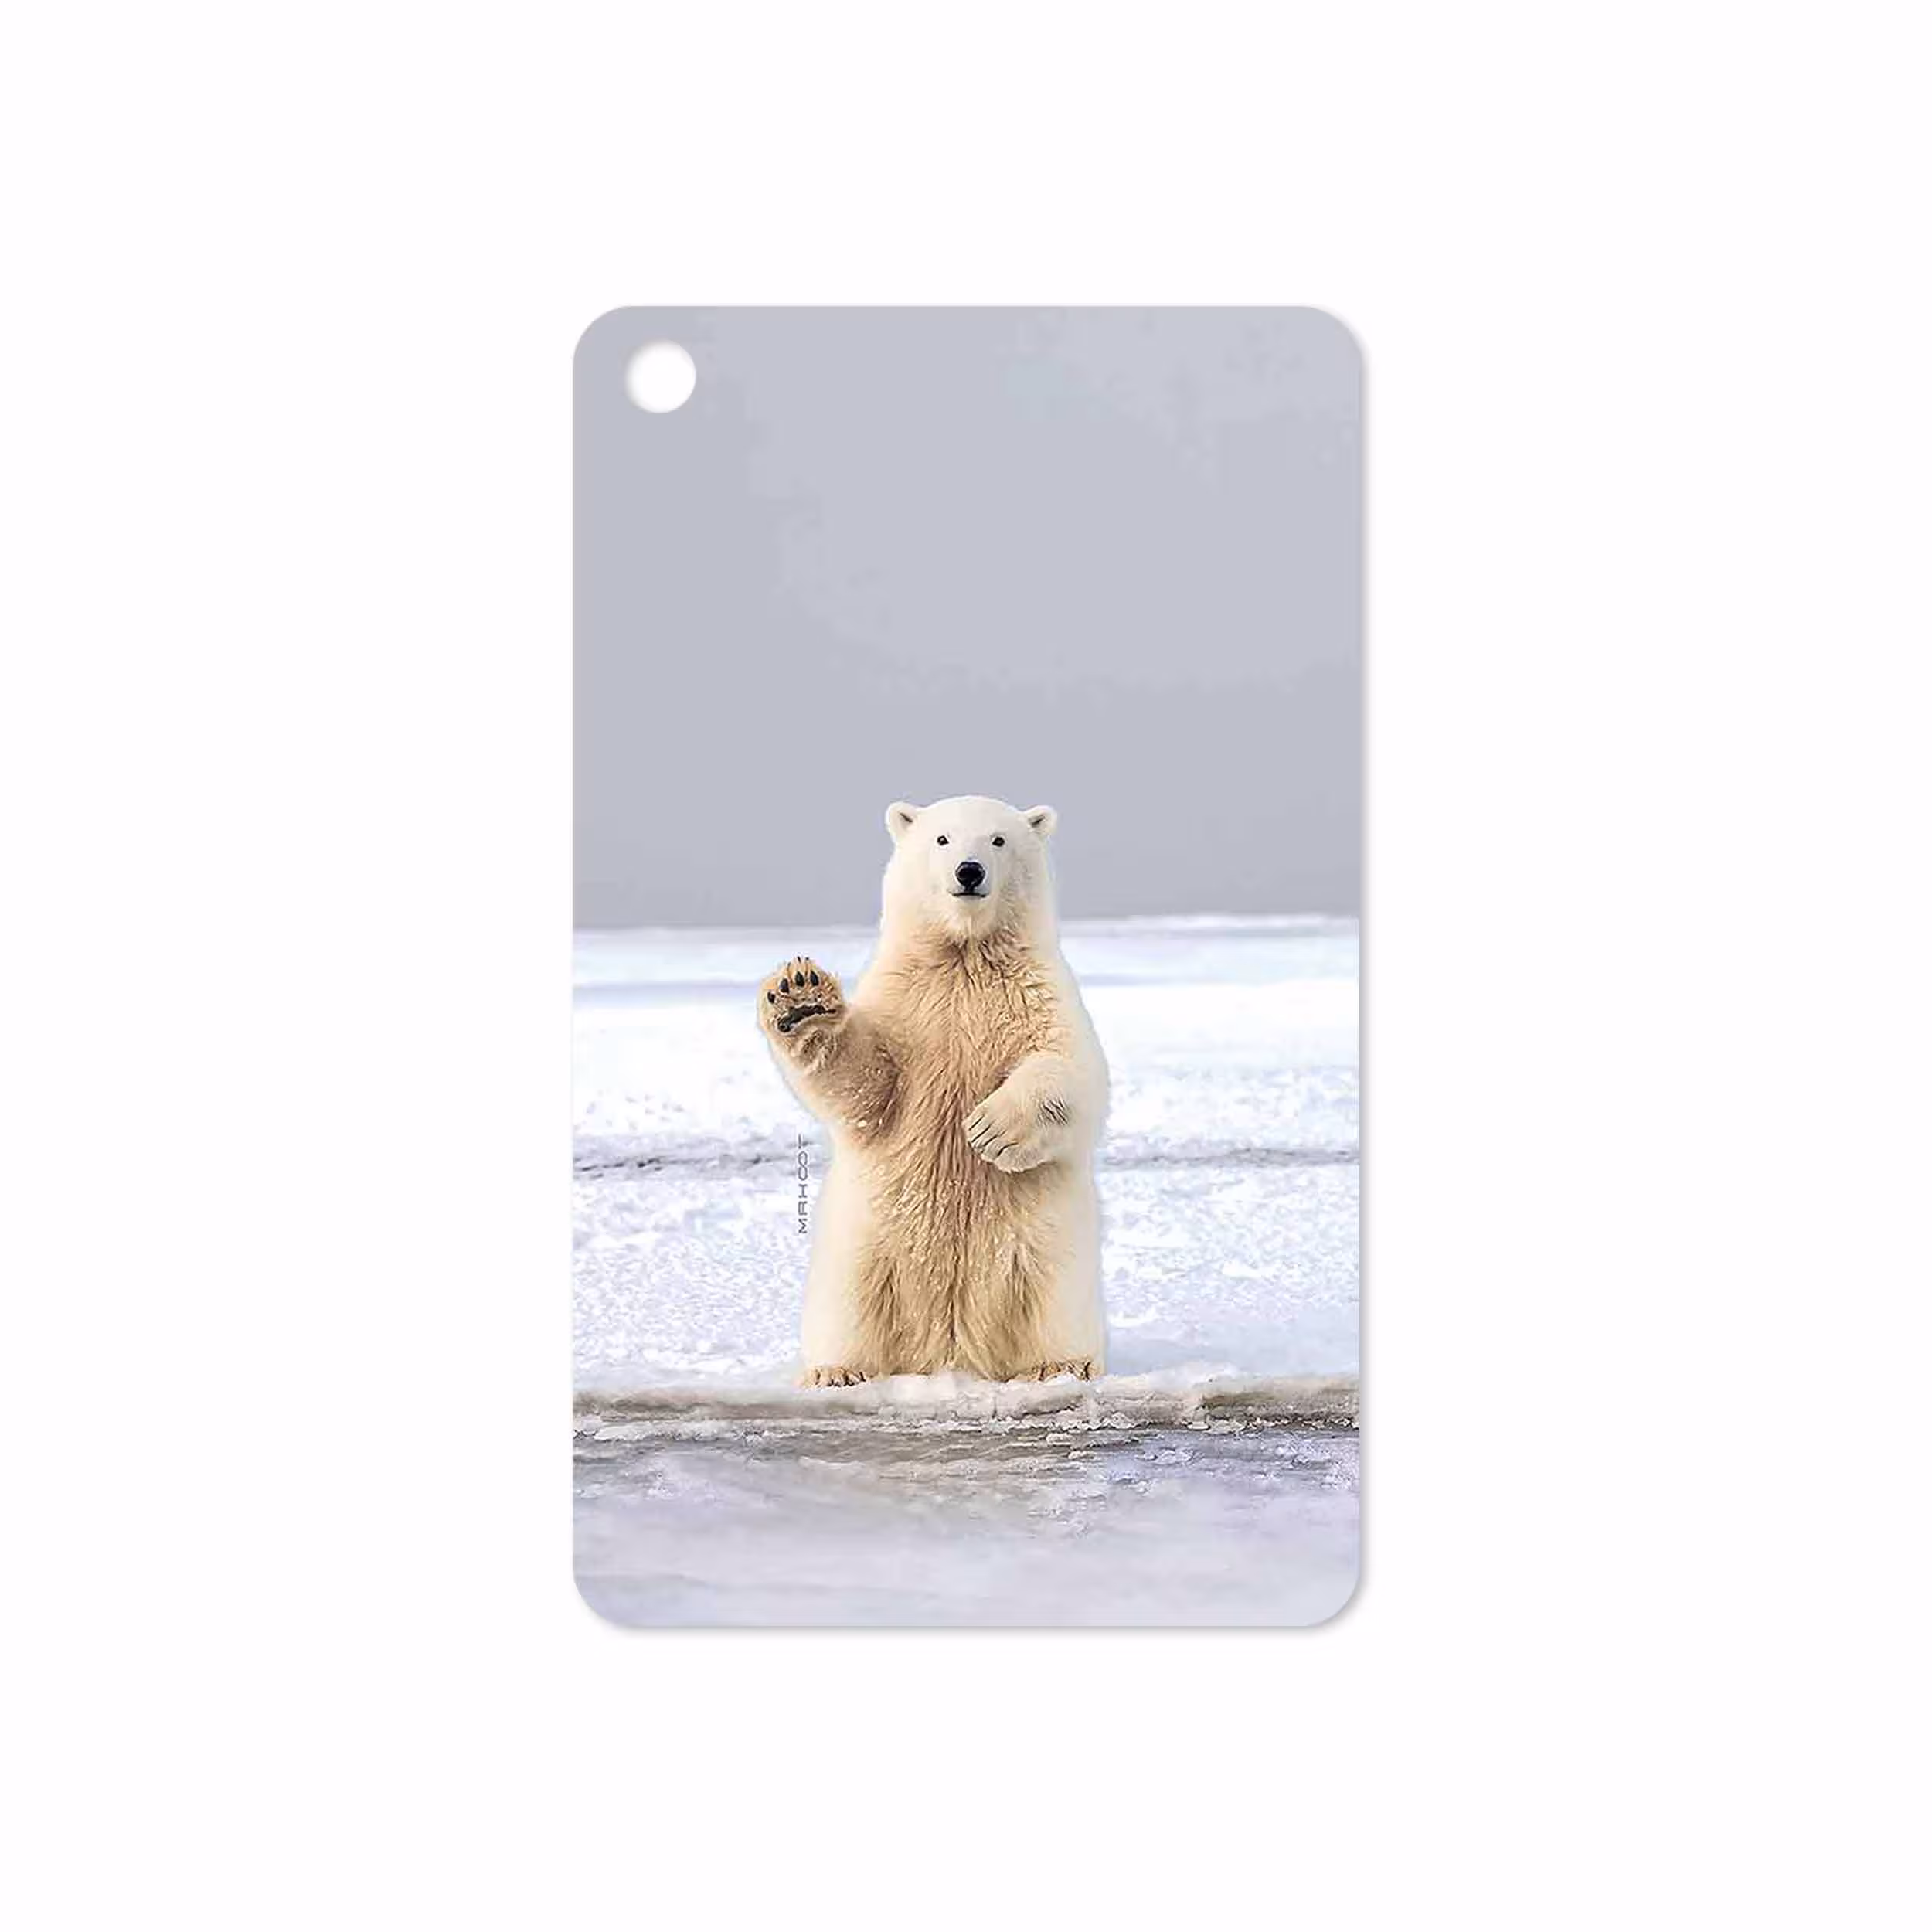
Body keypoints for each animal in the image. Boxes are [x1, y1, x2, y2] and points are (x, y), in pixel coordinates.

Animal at [758, 795, 1109, 1386]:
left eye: (998, 840)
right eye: (942, 839)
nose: (969, 872)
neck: (964, 956)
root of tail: (950, 1352)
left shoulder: (1040, 994)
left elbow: (1073, 1071)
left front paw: (990, 1129)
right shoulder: (906, 1003)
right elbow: (867, 1085)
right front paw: (800, 999)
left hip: (1049, 1248)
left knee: (1054, 1298)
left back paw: (1061, 1365)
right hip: (863, 1247)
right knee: (848, 1306)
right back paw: (836, 1371)